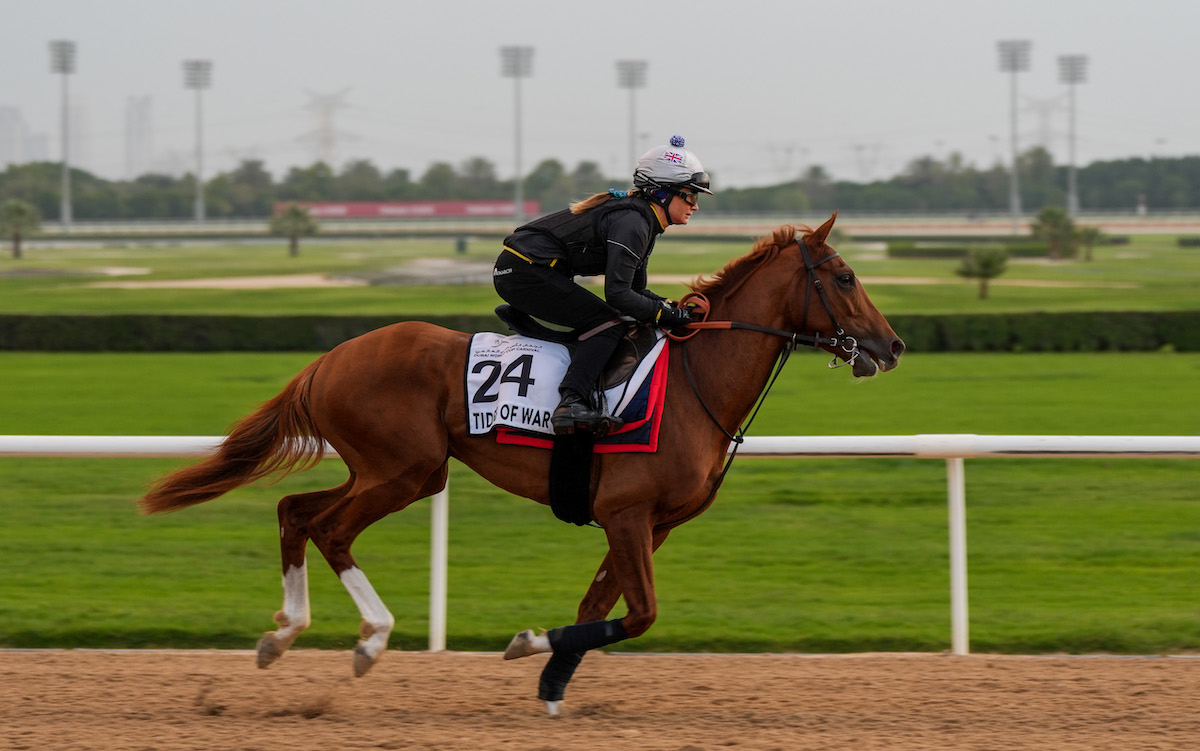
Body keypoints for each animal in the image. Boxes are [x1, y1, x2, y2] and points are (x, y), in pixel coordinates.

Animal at [138, 211, 902, 715]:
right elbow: (640, 614)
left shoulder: (649, 524)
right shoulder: (626, 512)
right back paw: (370, 640)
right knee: (330, 529)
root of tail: (328, 358)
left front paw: (553, 683)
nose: (891, 346)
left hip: (383, 467)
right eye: (844, 275)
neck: (695, 381)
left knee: (294, 511)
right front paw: (528, 643)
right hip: (408, 469)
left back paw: (282, 634)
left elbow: (601, 606)